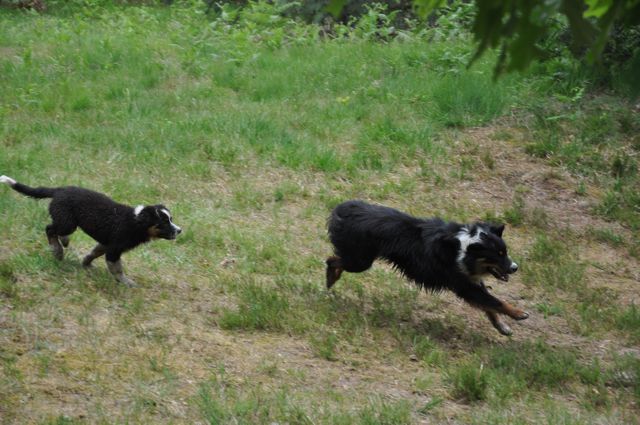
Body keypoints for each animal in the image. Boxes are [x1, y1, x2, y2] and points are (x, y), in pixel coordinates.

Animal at [0, 174, 180, 286]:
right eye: (163, 222)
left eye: (171, 219)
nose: (179, 230)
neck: (135, 222)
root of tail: (60, 190)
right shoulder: (114, 249)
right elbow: (117, 269)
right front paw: (126, 283)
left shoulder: (106, 244)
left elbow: (94, 253)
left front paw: (86, 264)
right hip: (67, 221)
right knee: (50, 229)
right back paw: (57, 250)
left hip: (67, 221)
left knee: (57, 230)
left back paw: (64, 242)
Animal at [328, 200, 528, 336]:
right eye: (498, 255)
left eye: (505, 252)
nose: (515, 268)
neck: (464, 249)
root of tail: (347, 208)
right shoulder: (465, 286)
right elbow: (496, 302)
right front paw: (519, 314)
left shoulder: (473, 282)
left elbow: (490, 307)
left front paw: (502, 327)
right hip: (360, 261)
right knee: (332, 261)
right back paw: (330, 280)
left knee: (334, 259)